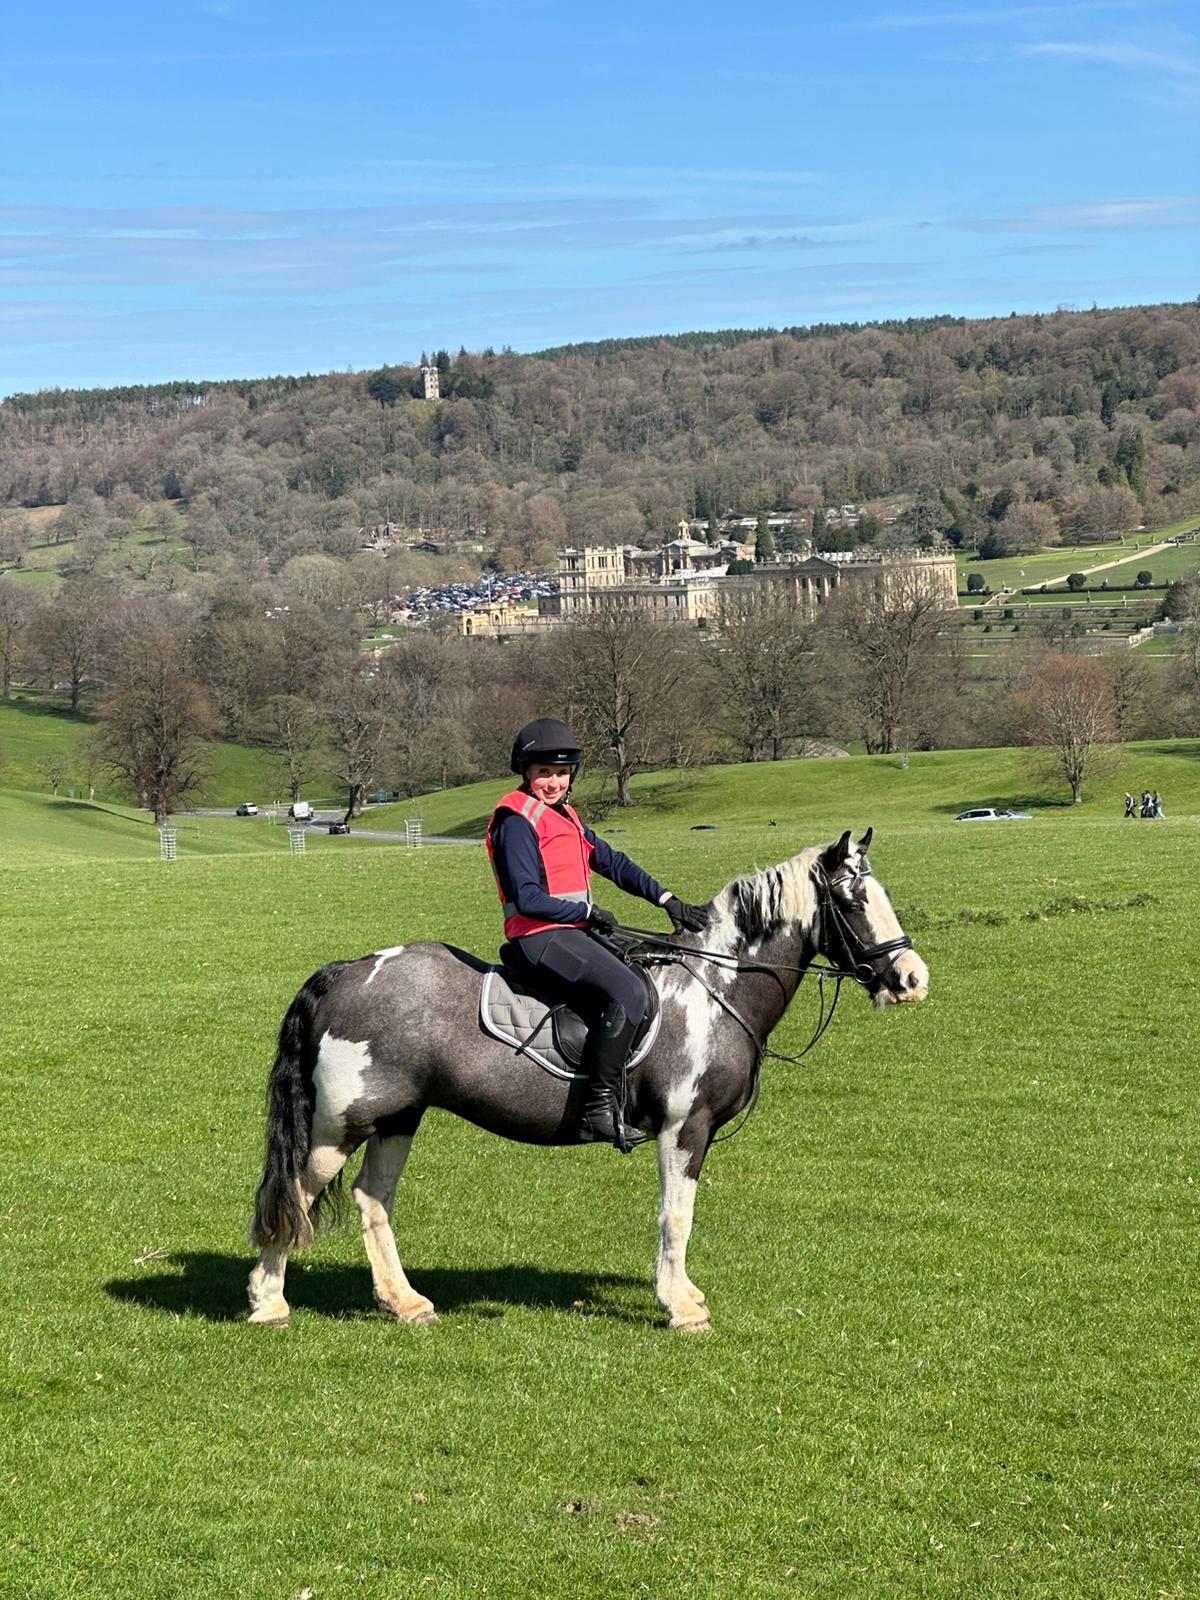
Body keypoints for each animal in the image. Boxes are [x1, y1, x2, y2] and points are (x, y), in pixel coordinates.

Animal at [248, 828, 928, 1333]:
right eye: (853, 902)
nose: (912, 977)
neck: (716, 988)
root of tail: (348, 971)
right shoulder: (684, 1128)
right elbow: (675, 1217)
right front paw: (679, 1307)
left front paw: (683, 1296)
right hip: (339, 1127)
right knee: (293, 1194)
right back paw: (269, 1301)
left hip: (397, 1118)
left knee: (372, 1200)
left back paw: (405, 1303)